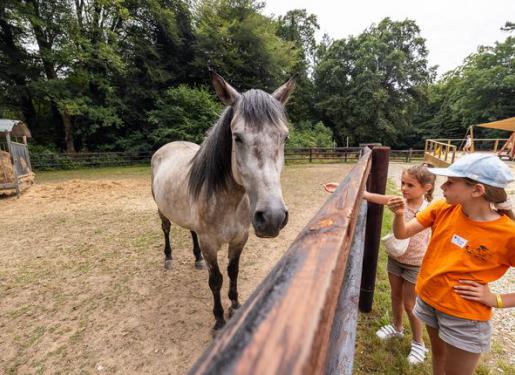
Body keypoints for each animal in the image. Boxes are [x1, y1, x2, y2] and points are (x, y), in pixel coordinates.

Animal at [151, 71, 296, 332]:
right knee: (166, 229)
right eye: (237, 137)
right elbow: (216, 280)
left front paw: (235, 306)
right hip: (161, 210)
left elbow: (233, 271)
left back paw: (197, 260)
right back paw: (168, 258)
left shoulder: (239, 239)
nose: (272, 217)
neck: (230, 202)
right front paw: (219, 320)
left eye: (285, 137)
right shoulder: (210, 244)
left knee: (191, 233)